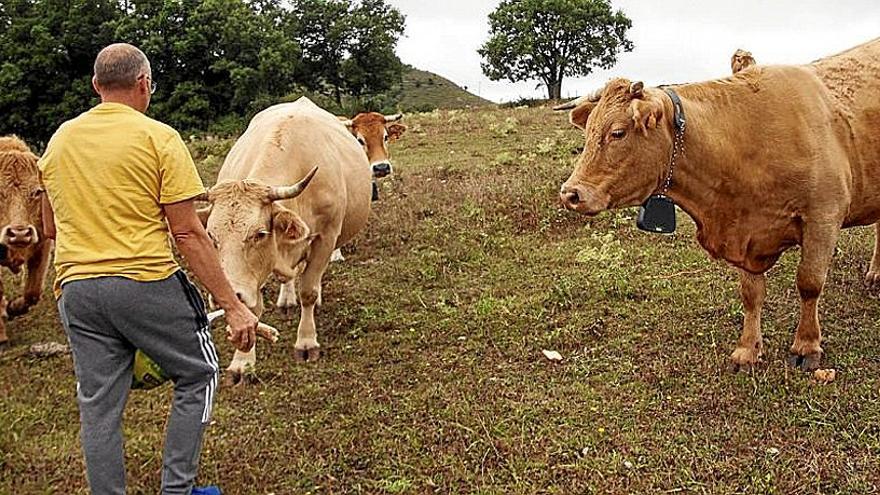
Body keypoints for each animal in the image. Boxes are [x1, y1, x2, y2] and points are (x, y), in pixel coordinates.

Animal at [199, 97, 371, 381]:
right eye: (212, 237)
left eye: (259, 234)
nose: (229, 294)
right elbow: (252, 311)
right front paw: (243, 362)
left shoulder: (326, 237)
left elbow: (309, 291)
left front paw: (306, 342)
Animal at [557, 38, 880, 372]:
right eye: (589, 132)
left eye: (618, 132)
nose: (571, 193)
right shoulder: (745, 233)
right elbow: (751, 294)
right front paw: (748, 350)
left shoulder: (823, 217)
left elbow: (809, 283)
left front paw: (806, 346)